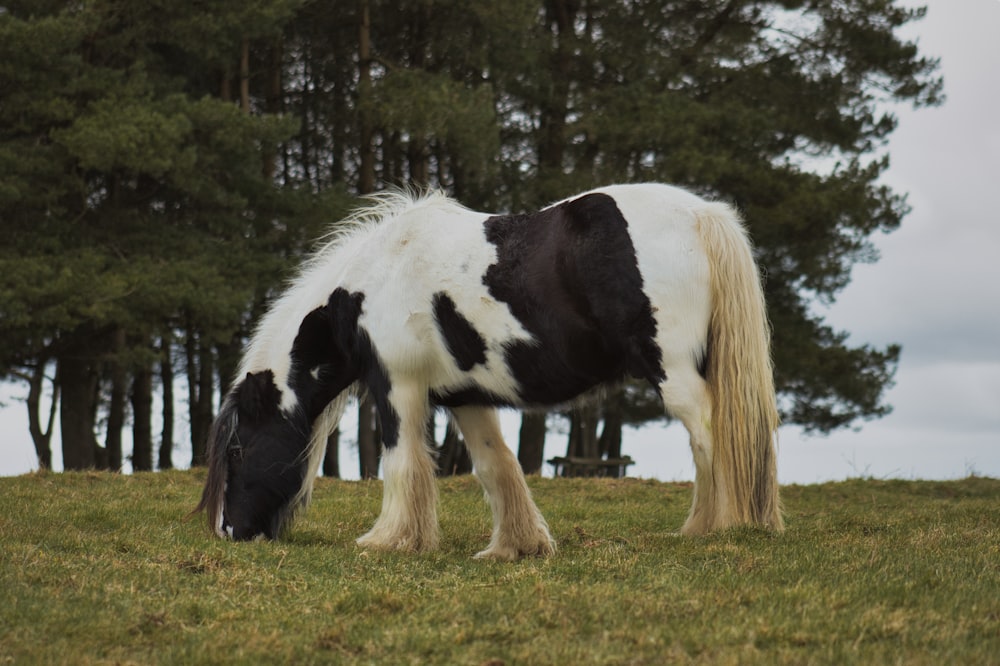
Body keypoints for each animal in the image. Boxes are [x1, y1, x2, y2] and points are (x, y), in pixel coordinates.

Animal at [195, 182, 784, 556]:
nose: (228, 532)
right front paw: (516, 547)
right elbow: (495, 466)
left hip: (675, 372)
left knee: (712, 436)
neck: (378, 278)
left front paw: (389, 541)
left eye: (238, 450)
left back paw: (717, 529)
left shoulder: (396, 385)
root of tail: (703, 215)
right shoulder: (465, 396)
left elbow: (402, 461)